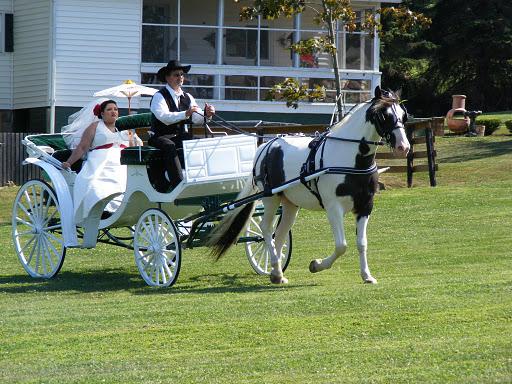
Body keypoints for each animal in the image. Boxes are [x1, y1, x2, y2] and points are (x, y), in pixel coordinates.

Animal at [210, 88, 410, 284]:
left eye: (403, 115)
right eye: (383, 115)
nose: (404, 147)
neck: (350, 159)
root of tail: (265, 146)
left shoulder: (365, 206)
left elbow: (362, 243)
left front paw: (367, 275)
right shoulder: (333, 207)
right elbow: (341, 246)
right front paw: (316, 265)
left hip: (290, 204)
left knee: (279, 233)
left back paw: (276, 273)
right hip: (270, 197)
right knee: (266, 229)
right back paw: (275, 266)